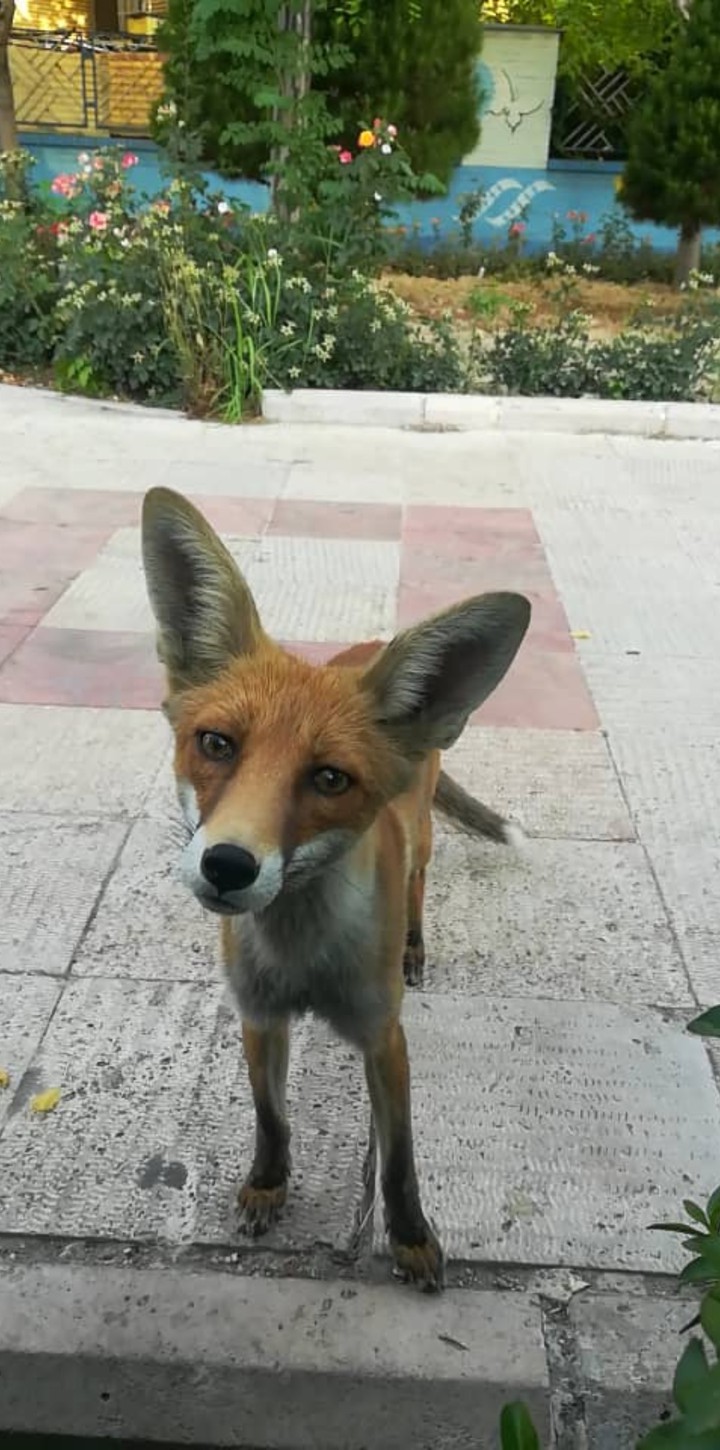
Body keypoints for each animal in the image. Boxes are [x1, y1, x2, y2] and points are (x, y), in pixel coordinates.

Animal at [141, 486, 531, 1293]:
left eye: (328, 779)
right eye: (216, 744)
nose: (228, 865)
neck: (302, 958)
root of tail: (363, 645)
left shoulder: (384, 1036)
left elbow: (400, 1161)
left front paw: (410, 1240)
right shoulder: (259, 1018)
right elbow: (271, 1120)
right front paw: (267, 1186)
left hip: (421, 840)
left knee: (419, 882)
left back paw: (415, 945)